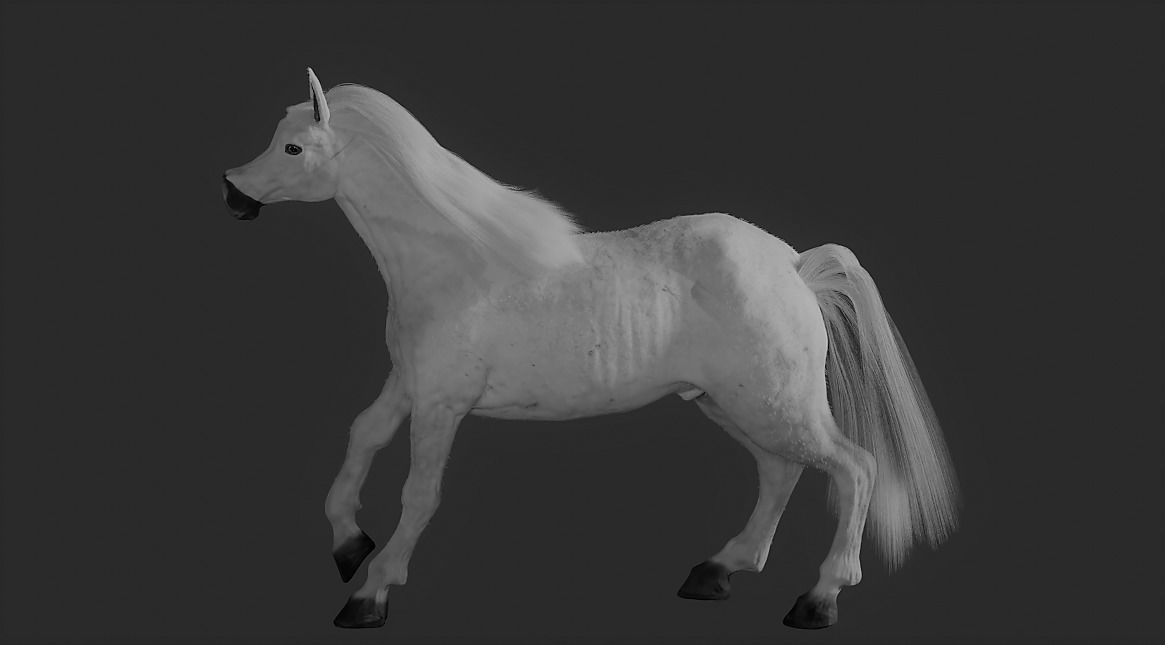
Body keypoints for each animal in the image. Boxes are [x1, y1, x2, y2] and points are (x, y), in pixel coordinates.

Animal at [222, 68, 959, 631]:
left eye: (293, 148)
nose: (231, 190)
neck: (456, 262)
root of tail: (793, 265)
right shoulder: (408, 383)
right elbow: (362, 435)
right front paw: (348, 543)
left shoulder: (441, 405)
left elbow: (419, 492)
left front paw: (371, 589)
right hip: (732, 405)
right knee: (780, 472)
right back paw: (718, 570)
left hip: (777, 407)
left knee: (854, 468)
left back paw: (819, 599)